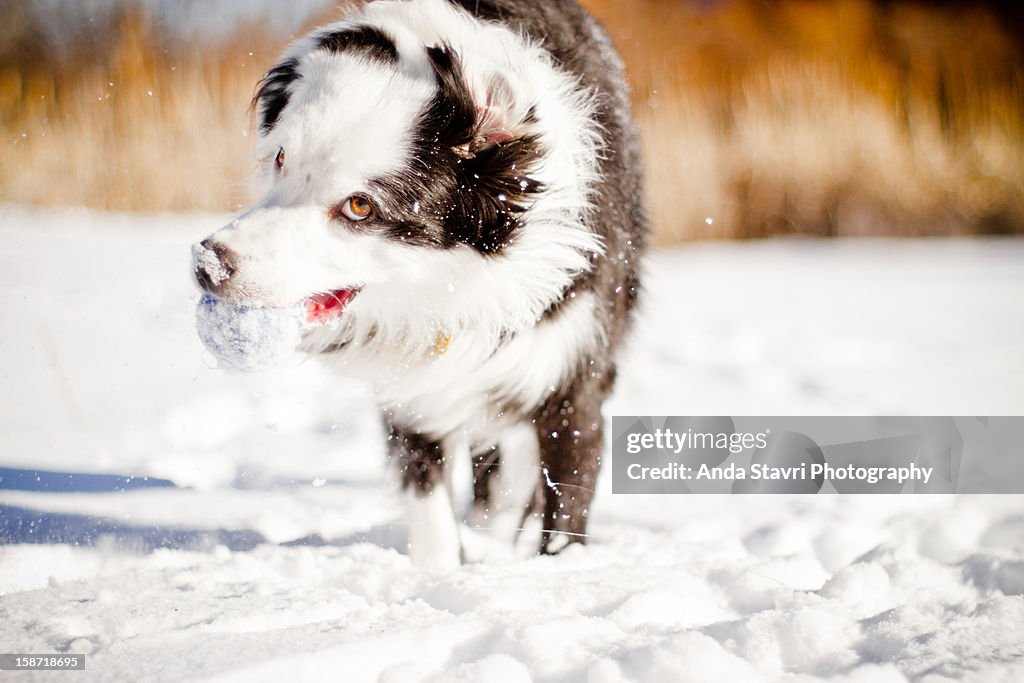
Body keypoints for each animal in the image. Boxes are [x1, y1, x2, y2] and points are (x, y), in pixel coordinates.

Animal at [190, 0, 647, 565]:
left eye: (360, 207)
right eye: (280, 158)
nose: (208, 264)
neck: (452, 288)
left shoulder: (575, 378)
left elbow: (564, 506)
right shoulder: (411, 388)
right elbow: (429, 507)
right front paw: (439, 575)